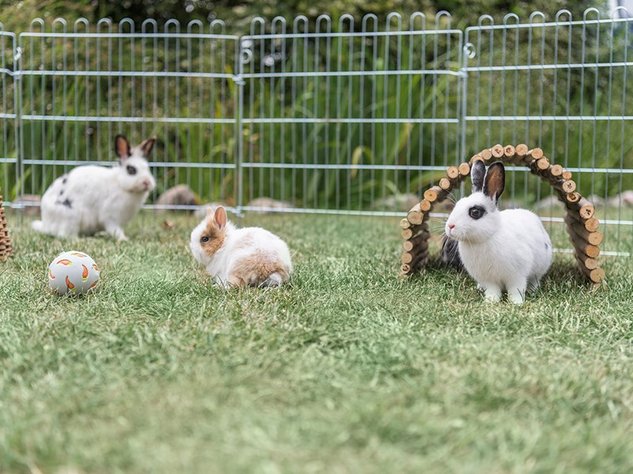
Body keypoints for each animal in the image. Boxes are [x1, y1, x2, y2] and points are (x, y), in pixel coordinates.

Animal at [442, 161, 552, 306]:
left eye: (475, 212)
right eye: (457, 204)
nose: (450, 226)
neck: (488, 236)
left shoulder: (516, 276)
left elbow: (516, 290)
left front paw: (516, 303)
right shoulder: (489, 280)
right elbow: (493, 290)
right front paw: (490, 301)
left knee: (535, 280)